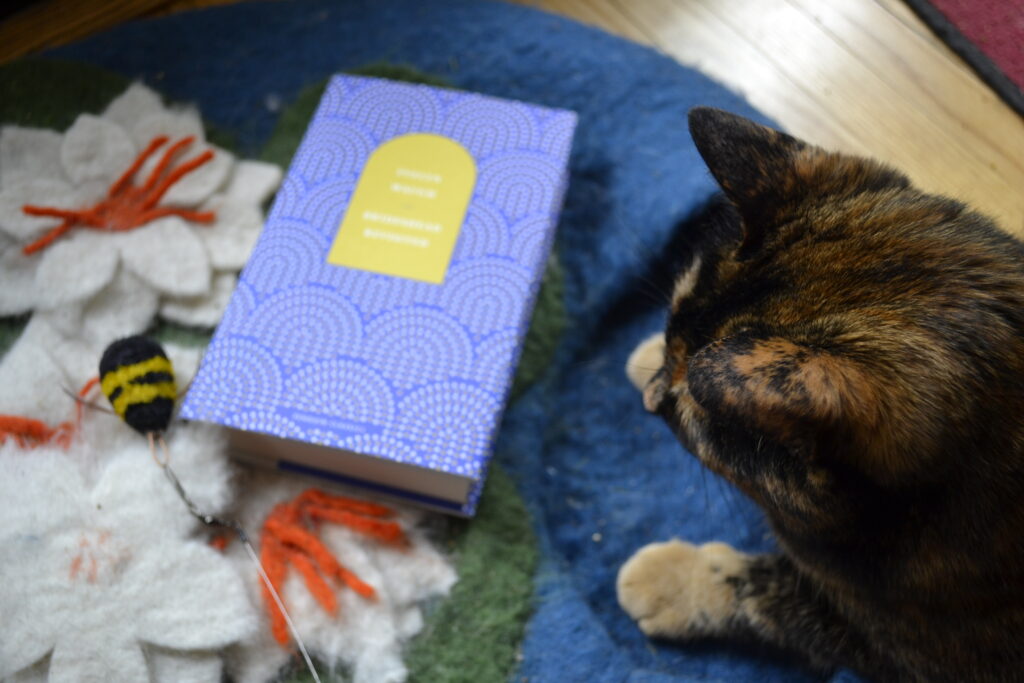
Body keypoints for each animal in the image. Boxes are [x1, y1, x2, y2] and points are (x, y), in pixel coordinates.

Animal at [614, 108, 1024, 683]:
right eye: (672, 319)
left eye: (696, 415)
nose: (651, 400)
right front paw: (647, 354)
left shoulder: (900, 650)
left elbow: (776, 599)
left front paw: (667, 580)